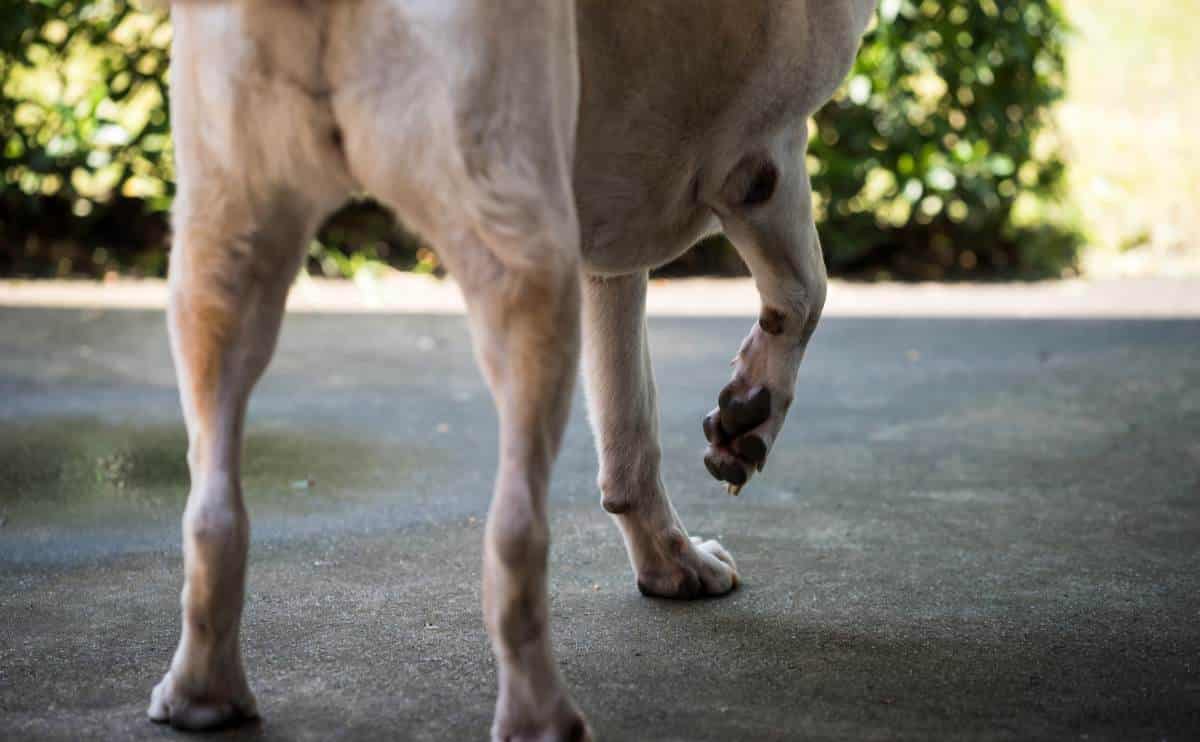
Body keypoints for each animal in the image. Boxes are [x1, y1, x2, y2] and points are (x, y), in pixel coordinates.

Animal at [152, 2, 873, 734]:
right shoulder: (766, 152)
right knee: (515, 534)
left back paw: (202, 694)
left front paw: (672, 562)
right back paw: (541, 715)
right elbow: (805, 293)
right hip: (523, 260)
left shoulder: (605, 254)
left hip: (221, 255)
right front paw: (749, 415)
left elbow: (629, 423)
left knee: (211, 512)